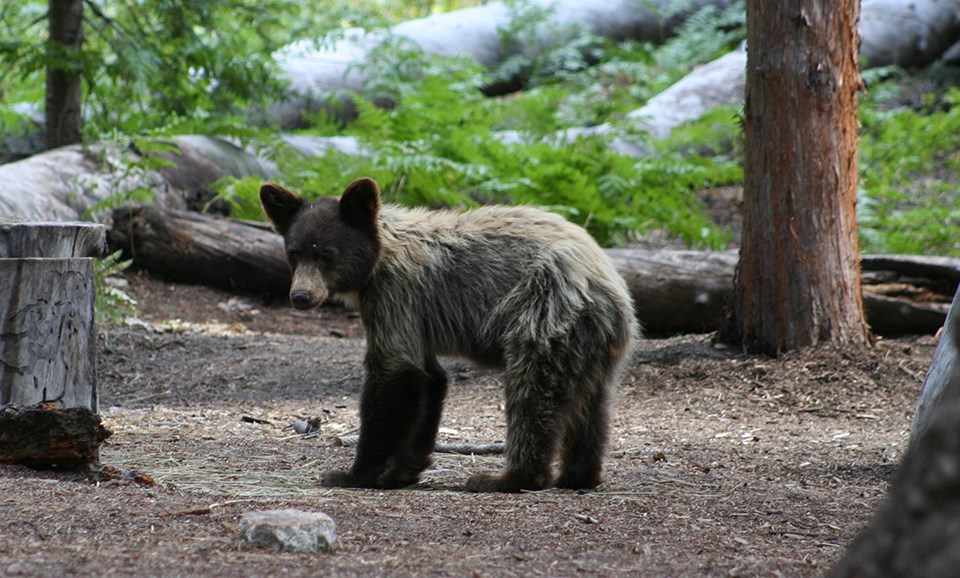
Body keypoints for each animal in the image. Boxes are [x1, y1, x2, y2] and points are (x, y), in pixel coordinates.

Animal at [262, 177, 636, 490]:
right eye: (294, 252)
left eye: (326, 253)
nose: (301, 296)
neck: (376, 262)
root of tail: (612, 287)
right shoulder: (414, 318)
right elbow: (429, 378)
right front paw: (403, 470)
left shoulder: (396, 296)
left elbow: (394, 375)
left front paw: (355, 472)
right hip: (591, 344)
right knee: (591, 408)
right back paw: (580, 475)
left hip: (543, 312)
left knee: (532, 394)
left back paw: (508, 477)